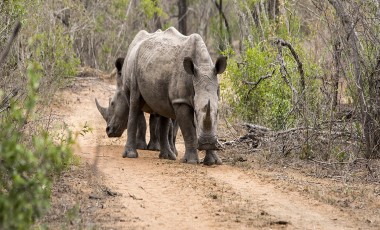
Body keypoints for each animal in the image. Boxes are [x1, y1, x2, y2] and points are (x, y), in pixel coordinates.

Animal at [119, 27, 226, 165]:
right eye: (195, 112)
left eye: (218, 112)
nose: (207, 143)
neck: (203, 66)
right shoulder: (181, 101)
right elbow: (188, 131)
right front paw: (191, 161)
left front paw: (213, 161)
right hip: (132, 66)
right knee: (134, 102)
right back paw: (131, 155)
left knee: (163, 109)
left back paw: (168, 156)